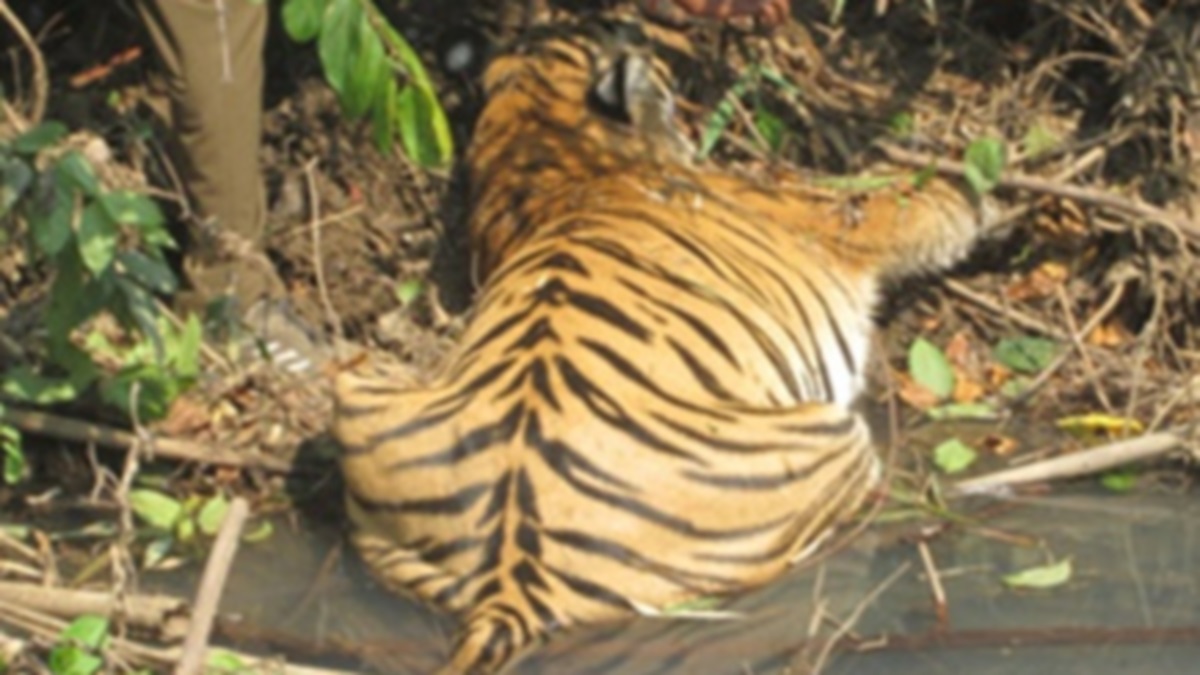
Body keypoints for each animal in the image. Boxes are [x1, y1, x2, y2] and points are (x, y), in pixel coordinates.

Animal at [332, 14, 996, 675]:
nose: (636, 28)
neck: (535, 135)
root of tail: (510, 584)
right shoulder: (832, 210)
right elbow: (926, 201)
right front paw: (991, 186)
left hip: (360, 391)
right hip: (827, 435)